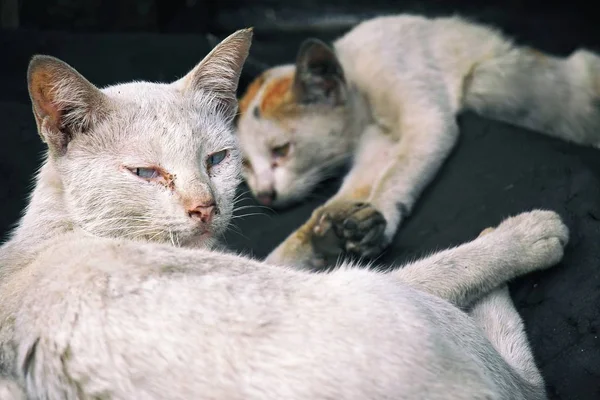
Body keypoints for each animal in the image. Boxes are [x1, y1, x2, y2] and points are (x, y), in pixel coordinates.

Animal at [0, 26, 568, 398]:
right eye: (145, 174)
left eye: (217, 159)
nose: (205, 207)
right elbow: (450, 266)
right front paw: (530, 235)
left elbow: (287, 248)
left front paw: (328, 232)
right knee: (527, 380)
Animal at [236, 14, 600, 270]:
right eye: (246, 166)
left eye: (281, 151)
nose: (264, 195)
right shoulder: (374, 150)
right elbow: (334, 205)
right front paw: (299, 252)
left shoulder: (426, 120)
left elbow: (396, 175)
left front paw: (377, 220)